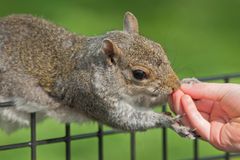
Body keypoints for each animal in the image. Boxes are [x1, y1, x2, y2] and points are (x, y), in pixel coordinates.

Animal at [0, 11, 195, 138]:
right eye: (139, 74)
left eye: (160, 48)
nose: (175, 86)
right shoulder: (91, 97)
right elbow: (124, 120)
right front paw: (165, 120)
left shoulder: (136, 96)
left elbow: (146, 100)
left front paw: (188, 82)